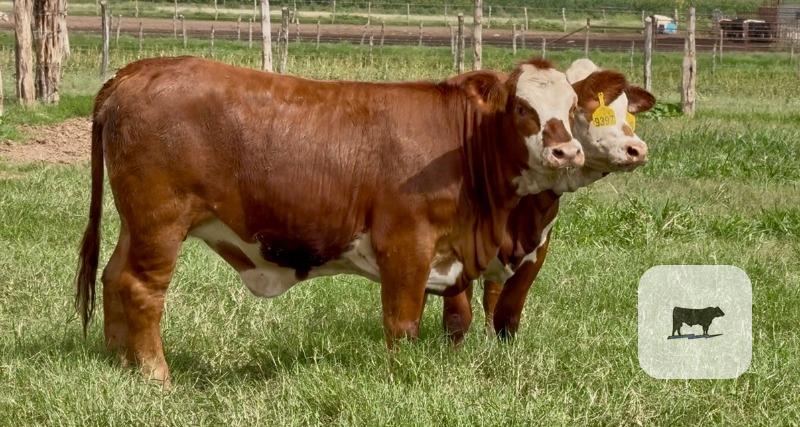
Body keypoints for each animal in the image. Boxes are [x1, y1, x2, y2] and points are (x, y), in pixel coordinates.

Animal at [74, 56, 585, 384]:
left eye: (574, 109)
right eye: (522, 108)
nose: (568, 151)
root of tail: (136, 70)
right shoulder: (406, 243)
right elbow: (402, 321)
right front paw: (403, 375)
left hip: (134, 223)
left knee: (113, 277)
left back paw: (119, 361)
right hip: (160, 223)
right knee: (141, 288)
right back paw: (154, 374)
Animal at [440, 59, 656, 342]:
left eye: (627, 113)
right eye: (588, 112)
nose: (636, 149)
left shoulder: (537, 246)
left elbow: (508, 313)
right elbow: (457, 314)